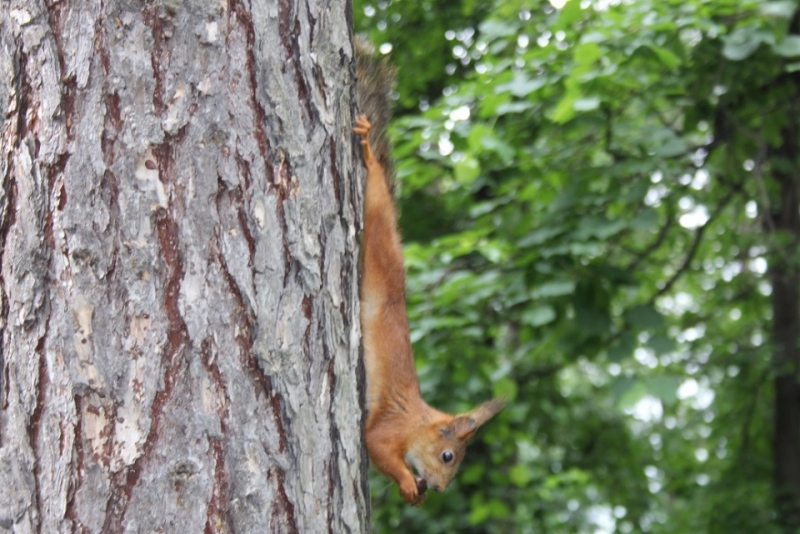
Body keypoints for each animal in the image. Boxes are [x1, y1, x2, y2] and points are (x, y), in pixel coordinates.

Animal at [354, 40, 504, 506]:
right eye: (447, 456)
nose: (436, 489)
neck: (420, 422)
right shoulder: (389, 429)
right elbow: (376, 446)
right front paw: (407, 483)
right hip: (377, 228)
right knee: (376, 189)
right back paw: (369, 156)